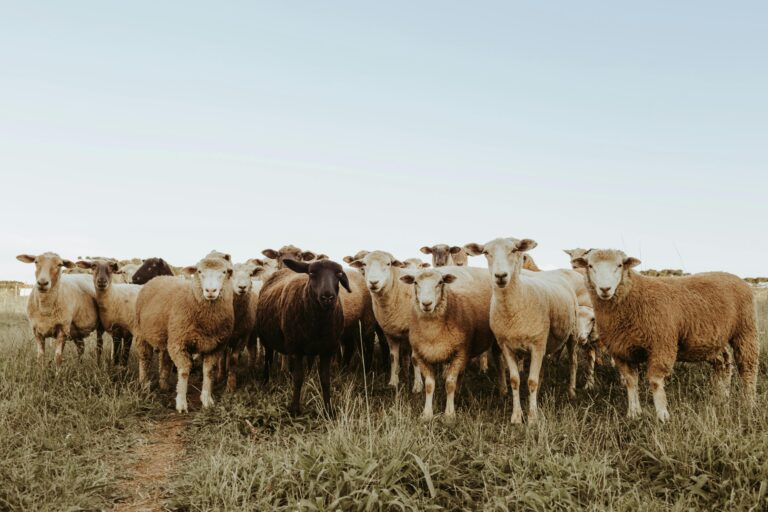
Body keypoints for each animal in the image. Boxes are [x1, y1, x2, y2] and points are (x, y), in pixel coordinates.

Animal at [134, 254, 234, 414]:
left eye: (224, 272)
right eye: (199, 271)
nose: (210, 290)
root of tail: (158, 278)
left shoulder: (215, 346)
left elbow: (209, 372)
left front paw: (207, 400)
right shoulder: (179, 343)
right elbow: (184, 372)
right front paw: (181, 403)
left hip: (167, 335)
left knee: (165, 358)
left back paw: (164, 384)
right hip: (141, 332)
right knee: (144, 359)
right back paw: (144, 384)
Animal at [350, 252, 424, 392]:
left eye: (388, 263)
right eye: (364, 264)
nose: (373, 282)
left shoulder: (414, 333)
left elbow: (415, 359)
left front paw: (417, 386)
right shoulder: (390, 333)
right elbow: (393, 357)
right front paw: (393, 382)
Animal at [400, 268, 500, 420]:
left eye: (440, 282)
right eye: (415, 282)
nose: (426, 303)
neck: (433, 333)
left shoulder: (459, 353)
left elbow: (449, 384)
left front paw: (449, 414)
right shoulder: (421, 355)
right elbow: (429, 385)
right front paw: (427, 414)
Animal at [462, 240, 576, 424]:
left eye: (515, 250)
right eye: (486, 252)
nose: (500, 276)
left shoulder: (536, 345)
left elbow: (532, 381)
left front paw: (533, 417)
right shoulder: (507, 346)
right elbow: (515, 380)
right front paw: (516, 416)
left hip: (572, 333)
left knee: (573, 362)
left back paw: (572, 391)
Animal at [572, 248, 760, 420]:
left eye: (619, 265)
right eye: (590, 265)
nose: (605, 289)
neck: (633, 296)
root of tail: (735, 277)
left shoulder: (661, 344)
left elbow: (655, 381)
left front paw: (662, 415)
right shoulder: (621, 351)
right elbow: (631, 382)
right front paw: (633, 413)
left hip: (745, 330)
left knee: (748, 367)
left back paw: (749, 403)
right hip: (712, 340)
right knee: (724, 362)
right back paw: (722, 397)